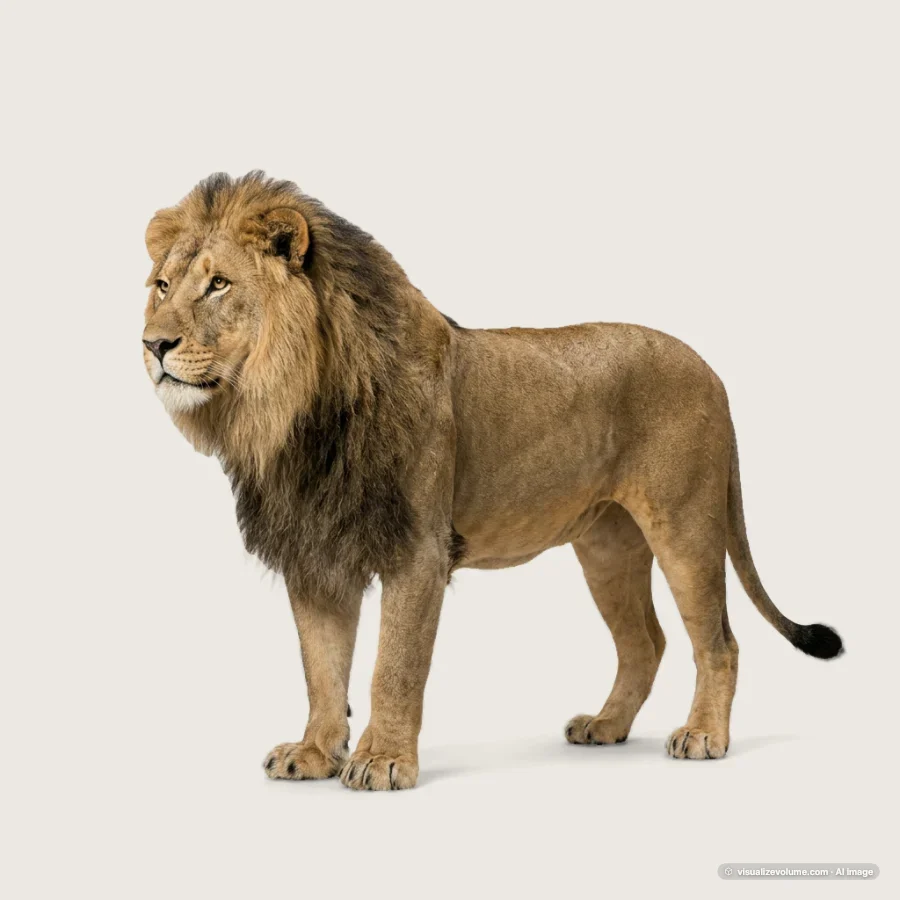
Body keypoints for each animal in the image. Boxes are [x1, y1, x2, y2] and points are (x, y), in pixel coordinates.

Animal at [142, 171, 842, 790]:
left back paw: (703, 737)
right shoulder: (317, 554)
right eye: (162, 285)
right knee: (646, 642)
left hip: (685, 524)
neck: (292, 413)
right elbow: (322, 668)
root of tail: (710, 369)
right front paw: (315, 754)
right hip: (607, 547)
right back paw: (605, 726)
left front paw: (383, 762)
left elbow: (393, 668)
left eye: (219, 285)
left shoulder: (417, 551)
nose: (153, 345)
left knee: (718, 640)